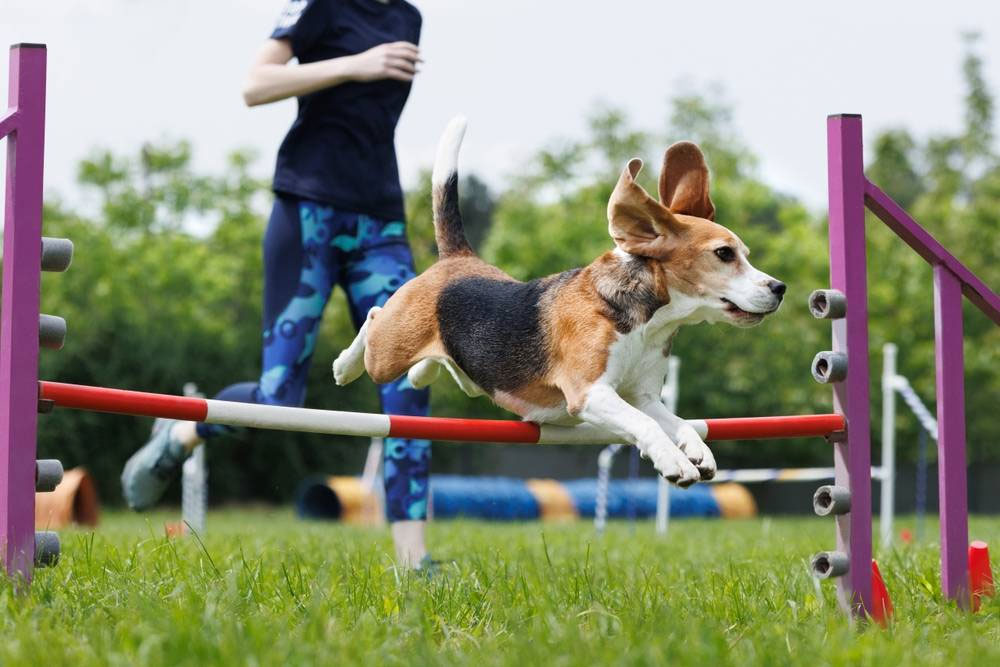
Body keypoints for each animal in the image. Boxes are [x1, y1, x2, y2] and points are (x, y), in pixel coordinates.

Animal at [332, 118, 784, 486]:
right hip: (386, 353)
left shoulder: (643, 398)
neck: (649, 319)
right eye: (724, 254)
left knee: (443, 368)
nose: (779, 287)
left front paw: (698, 452)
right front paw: (674, 462)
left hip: (467, 372)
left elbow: (680, 423)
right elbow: (646, 426)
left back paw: (422, 373)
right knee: (374, 317)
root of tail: (458, 259)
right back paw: (344, 365)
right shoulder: (592, 394)